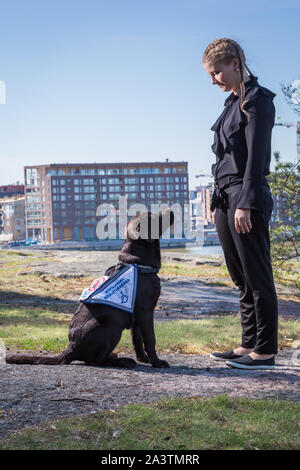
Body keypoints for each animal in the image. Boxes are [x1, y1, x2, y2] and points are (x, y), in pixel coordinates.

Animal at [5, 209, 175, 368]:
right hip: (110, 326)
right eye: (154, 217)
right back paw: (121, 361)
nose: (171, 210)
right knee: (96, 360)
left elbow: (137, 339)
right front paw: (157, 362)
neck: (139, 264)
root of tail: (71, 349)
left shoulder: (137, 314)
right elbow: (150, 339)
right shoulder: (145, 311)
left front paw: (144, 359)